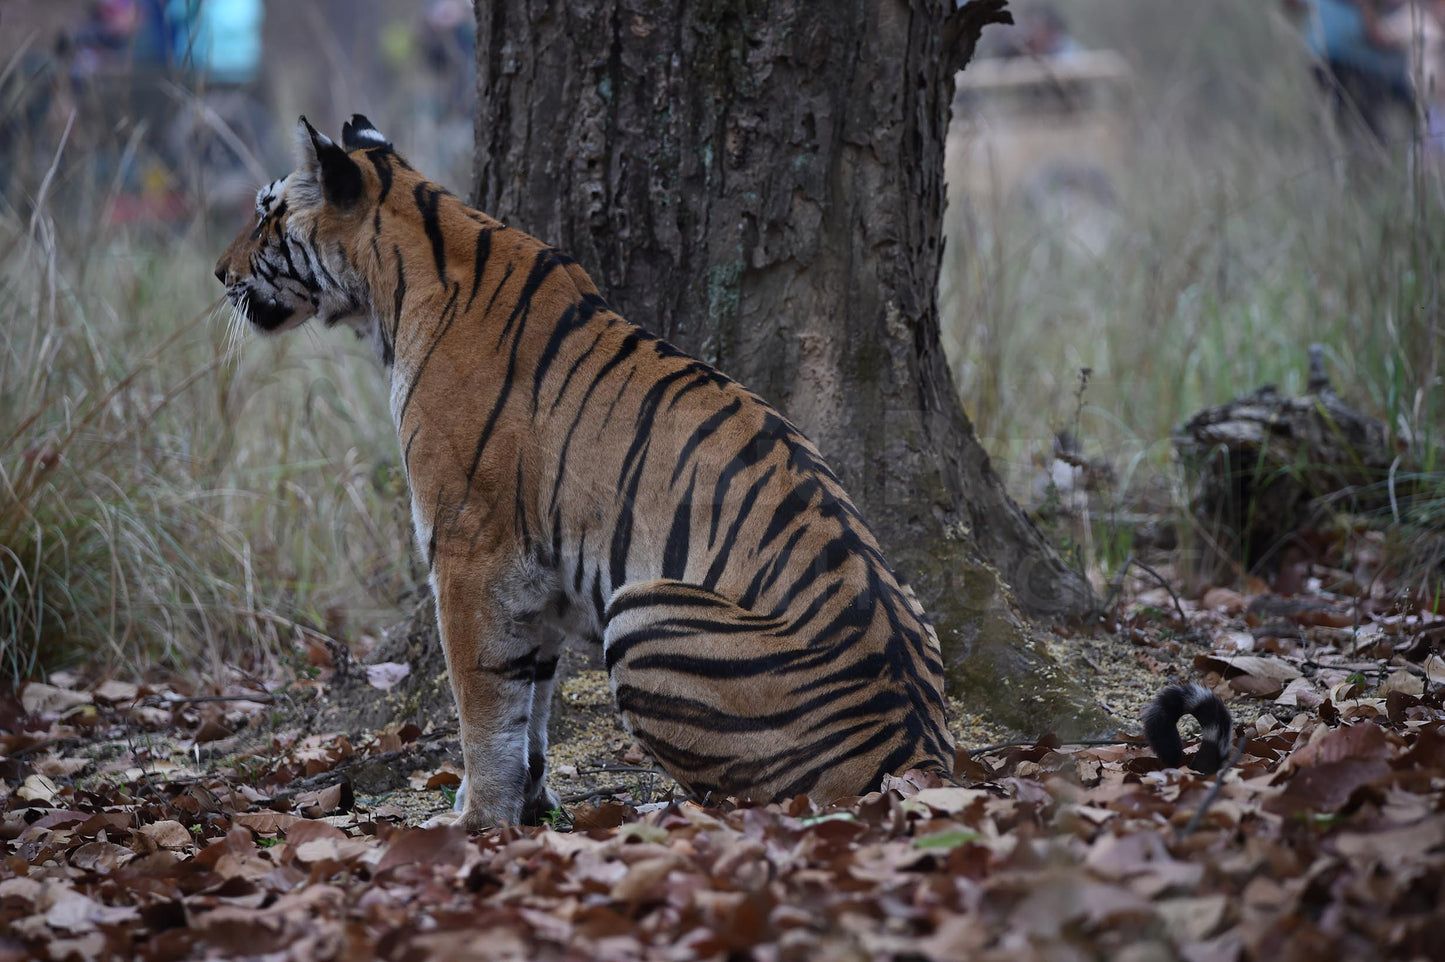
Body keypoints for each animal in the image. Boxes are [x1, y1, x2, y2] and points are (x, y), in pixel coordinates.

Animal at [213, 117, 1231, 826]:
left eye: (266, 211)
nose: (217, 273)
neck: (405, 267)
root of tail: (919, 754)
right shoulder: (534, 580)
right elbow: (529, 707)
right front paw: (531, 812)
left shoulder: (468, 552)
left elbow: (483, 708)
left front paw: (475, 822)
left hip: (644, 611)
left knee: (753, 800)